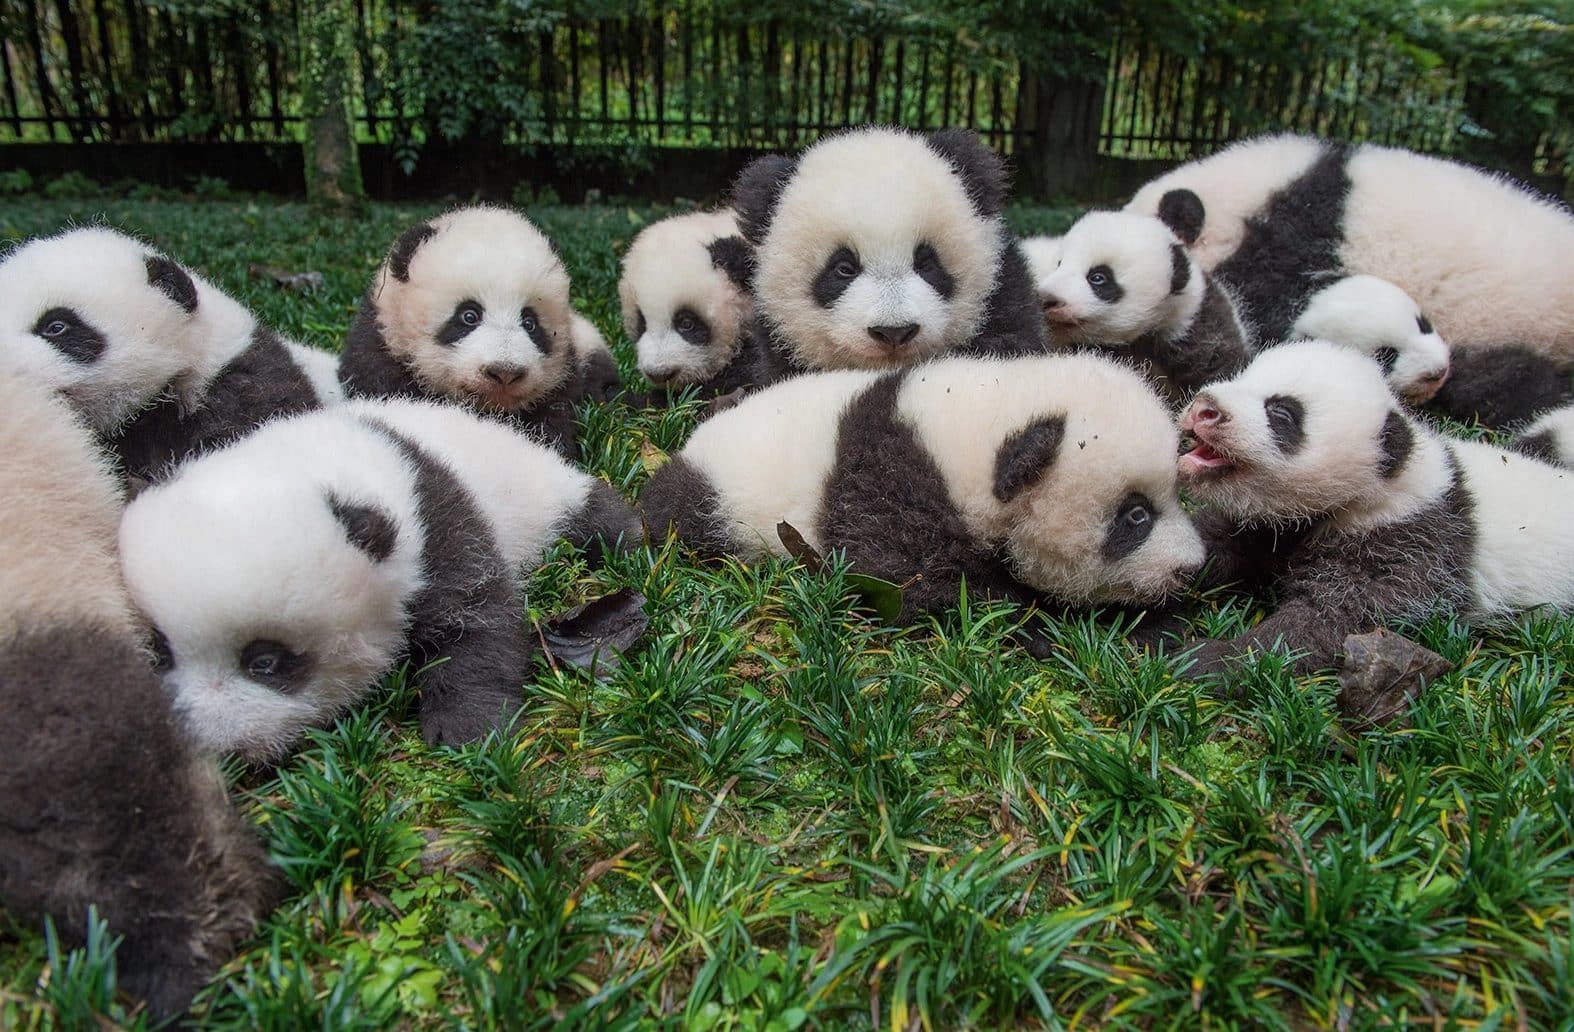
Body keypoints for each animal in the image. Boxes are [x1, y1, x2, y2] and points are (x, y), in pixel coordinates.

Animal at [118, 397, 640, 762]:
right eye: (161, 651)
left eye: (265, 662)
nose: (214, 745)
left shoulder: (434, 519)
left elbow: (477, 613)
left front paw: (468, 730)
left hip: (536, 488)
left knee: (589, 514)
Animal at [641, 354, 1204, 635]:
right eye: (1136, 516)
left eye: (1175, 496)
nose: (1192, 567)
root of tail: (690, 444)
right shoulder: (891, 487)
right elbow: (912, 583)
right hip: (717, 496)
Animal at [1174, 339, 1574, 676]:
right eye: (1241, 375)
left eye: (1282, 414)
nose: (1205, 408)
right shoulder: (1270, 522)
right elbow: (1214, 540)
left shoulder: (1410, 542)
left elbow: (1337, 622)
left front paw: (1208, 659)